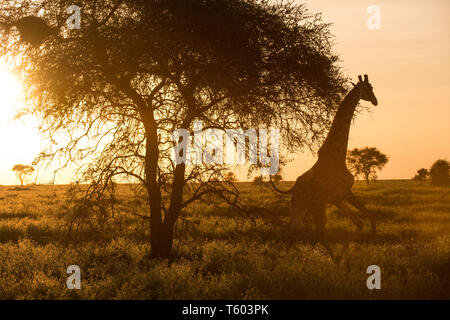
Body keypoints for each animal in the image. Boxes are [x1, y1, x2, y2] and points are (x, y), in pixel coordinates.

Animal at [270, 74, 380, 260]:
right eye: (369, 88)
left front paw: (348, 251)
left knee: (290, 231)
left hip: (299, 206)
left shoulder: (337, 198)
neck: (338, 155)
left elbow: (359, 222)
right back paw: (334, 259)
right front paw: (367, 247)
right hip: (316, 206)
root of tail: (293, 188)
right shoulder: (345, 192)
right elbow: (370, 217)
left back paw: (282, 259)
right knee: (319, 233)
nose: (375, 101)